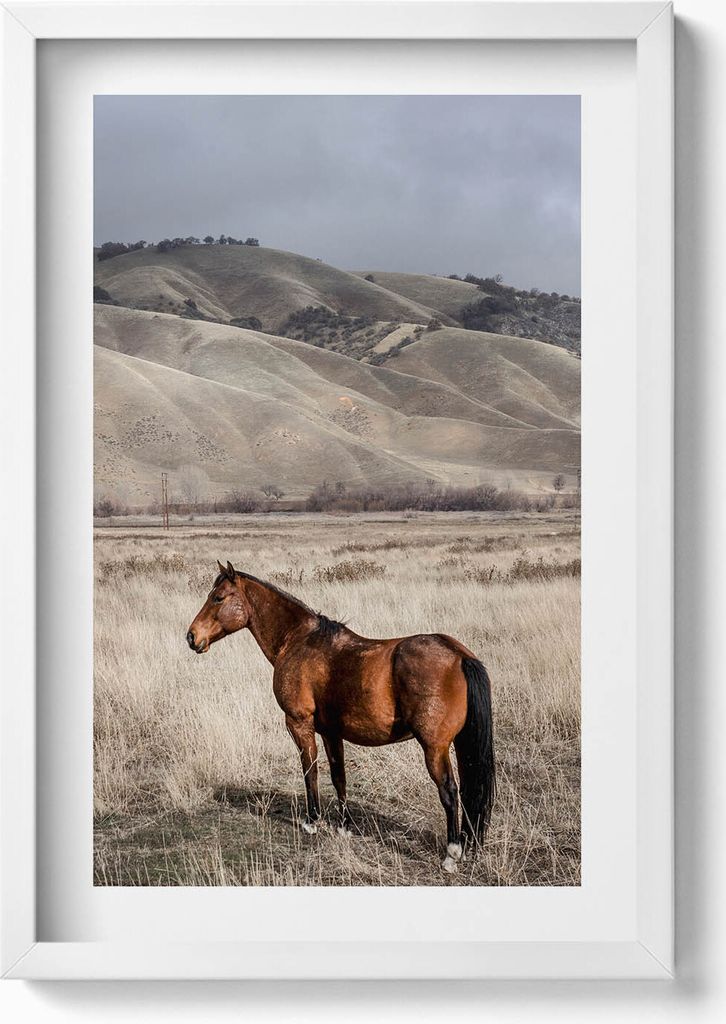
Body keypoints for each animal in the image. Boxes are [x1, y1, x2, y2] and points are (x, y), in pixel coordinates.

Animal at [186, 560, 496, 872]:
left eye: (218, 598)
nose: (191, 636)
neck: (298, 641)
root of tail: (459, 655)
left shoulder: (299, 723)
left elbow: (310, 770)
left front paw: (312, 821)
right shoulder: (330, 732)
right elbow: (339, 777)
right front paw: (344, 826)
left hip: (434, 748)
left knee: (450, 792)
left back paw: (451, 853)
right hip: (458, 744)